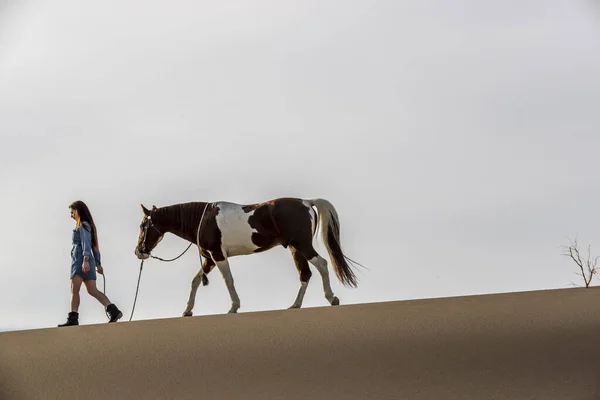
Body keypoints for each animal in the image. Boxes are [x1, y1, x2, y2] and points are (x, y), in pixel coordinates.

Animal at [134, 196, 364, 316]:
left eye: (143, 225)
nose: (138, 252)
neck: (202, 219)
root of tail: (307, 202)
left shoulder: (218, 256)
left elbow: (228, 280)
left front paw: (234, 306)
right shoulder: (209, 258)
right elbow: (196, 281)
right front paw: (187, 311)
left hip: (303, 245)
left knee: (322, 265)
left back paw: (331, 297)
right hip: (295, 249)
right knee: (305, 274)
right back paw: (295, 305)